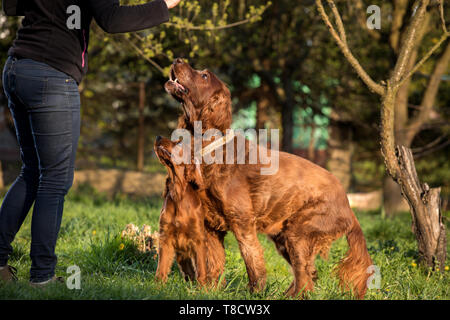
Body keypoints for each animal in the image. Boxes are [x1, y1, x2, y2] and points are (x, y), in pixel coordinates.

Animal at [155, 136, 227, 286]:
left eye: (178, 143)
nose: (158, 137)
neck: (178, 193)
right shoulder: (165, 237)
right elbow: (162, 267)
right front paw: (157, 286)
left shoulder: (198, 239)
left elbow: (201, 269)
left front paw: (203, 288)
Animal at [165, 58, 372, 298]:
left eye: (205, 76)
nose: (177, 59)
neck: (208, 148)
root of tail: (348, 205)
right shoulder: (212, 228)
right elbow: (213, 264)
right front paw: (209, 290)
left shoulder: (243, 224)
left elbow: (253, 262)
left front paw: (255, 293)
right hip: (285, 236)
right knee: (309, 273)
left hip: (299, 232)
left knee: (304, 274)